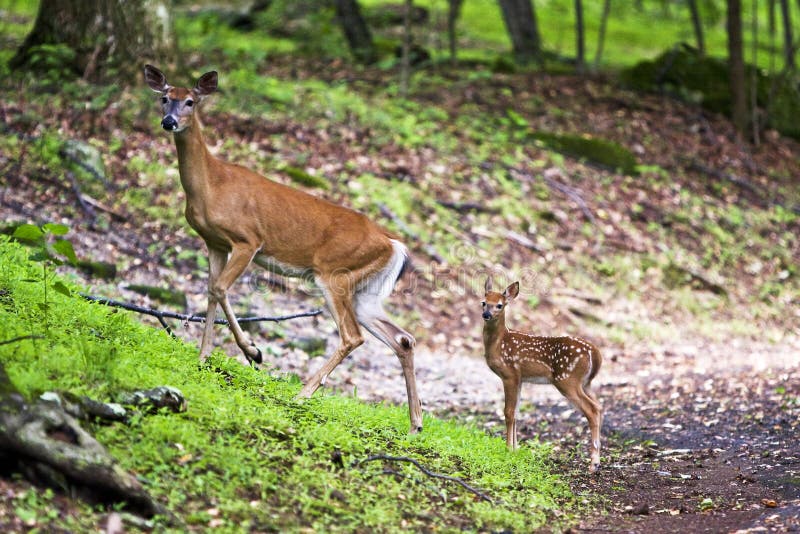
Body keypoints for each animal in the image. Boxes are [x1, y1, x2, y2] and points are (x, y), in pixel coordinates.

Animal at [142, 65, 424, 434]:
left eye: (190, 101)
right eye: (164, 98)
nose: (169, 122)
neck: (211, 185)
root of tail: (393, 243)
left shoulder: (247, 240)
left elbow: (220, 288)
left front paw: (253, 351)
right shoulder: (213, 242)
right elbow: (211, 290)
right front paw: (203, 357)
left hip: (334, 274)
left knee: (352, 336)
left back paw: (303, 393)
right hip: (367, 290)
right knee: (403, 338)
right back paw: (415, 423)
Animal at [478, 280, 604, 474]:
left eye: (499, 305)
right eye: (483, 302)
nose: (486, 315)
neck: (499, 343)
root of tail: (595, 353)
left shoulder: (510, 374)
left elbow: (508, 412)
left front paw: (508, 449)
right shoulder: (520, 378)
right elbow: (516, 412)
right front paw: (516, 449)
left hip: (567, 380)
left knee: (592, 410)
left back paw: (593, 464)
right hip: (586, 383)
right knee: (599, 406)